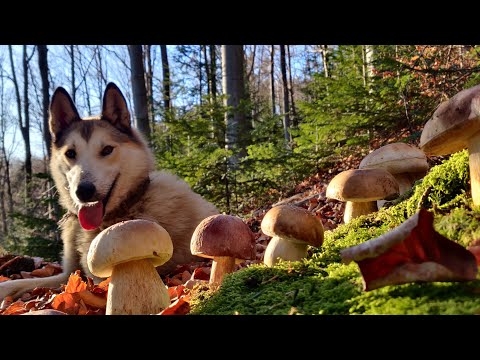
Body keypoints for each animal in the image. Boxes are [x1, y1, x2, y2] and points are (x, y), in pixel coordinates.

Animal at [0, 83, 218, 300]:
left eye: (107, 150)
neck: (126, 207)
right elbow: (23, 283)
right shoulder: (66, 273)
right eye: (70, 153)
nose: (83, 191)